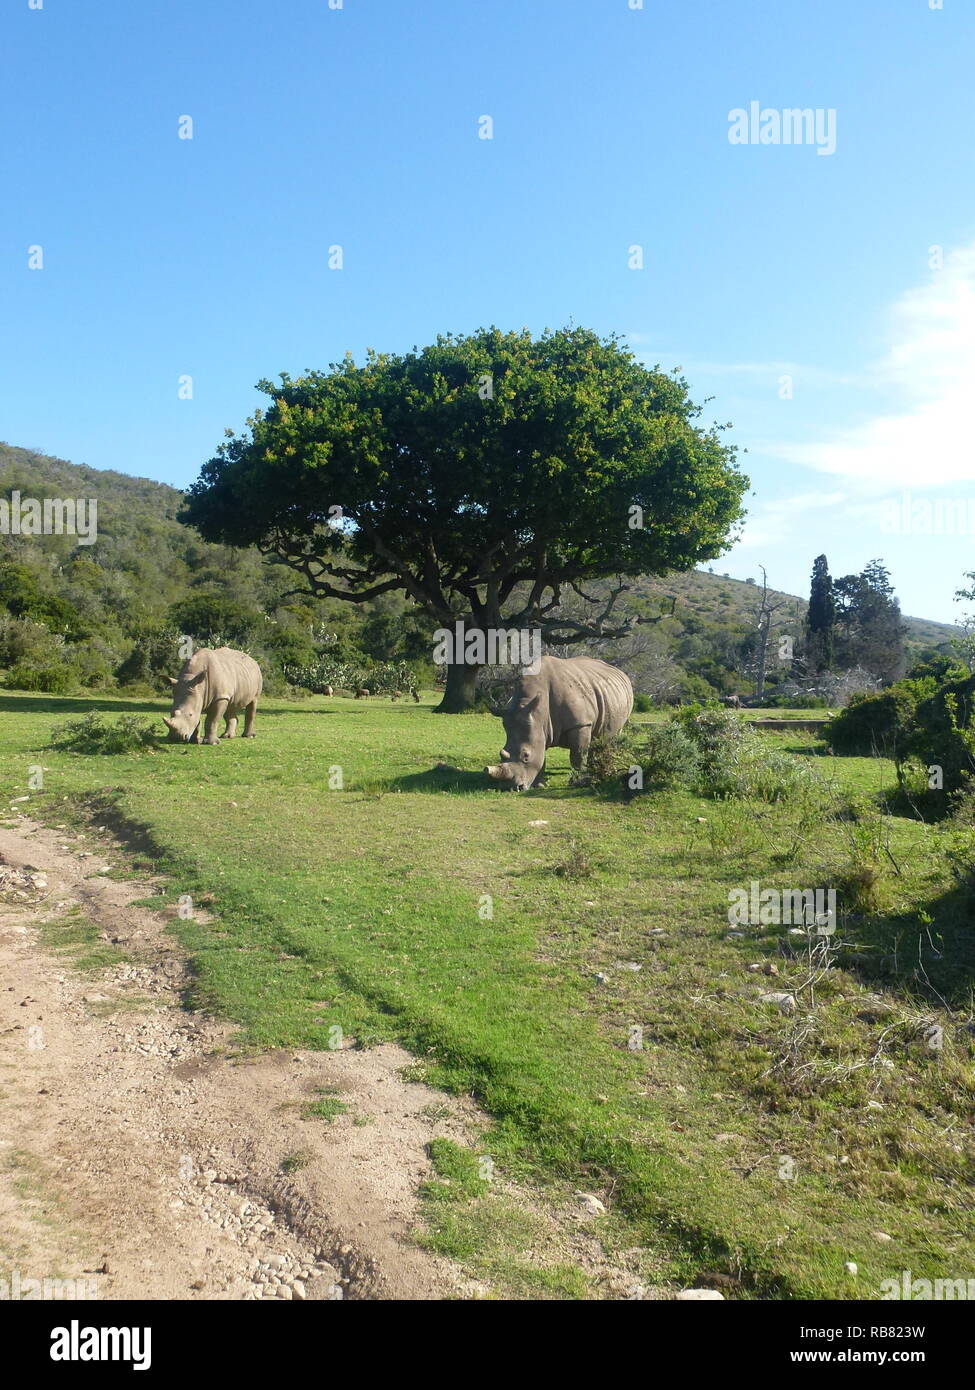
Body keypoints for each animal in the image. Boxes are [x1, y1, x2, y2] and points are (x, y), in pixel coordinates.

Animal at [484, 653, 634, 789]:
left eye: (526, 756)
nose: (514, 788)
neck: (538, 711)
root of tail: (621, 673)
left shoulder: (580, 724)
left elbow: (578, 754)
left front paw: (578, 783)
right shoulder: (540, 728)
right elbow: (541, 755)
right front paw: (539, 785)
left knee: (612, 736)